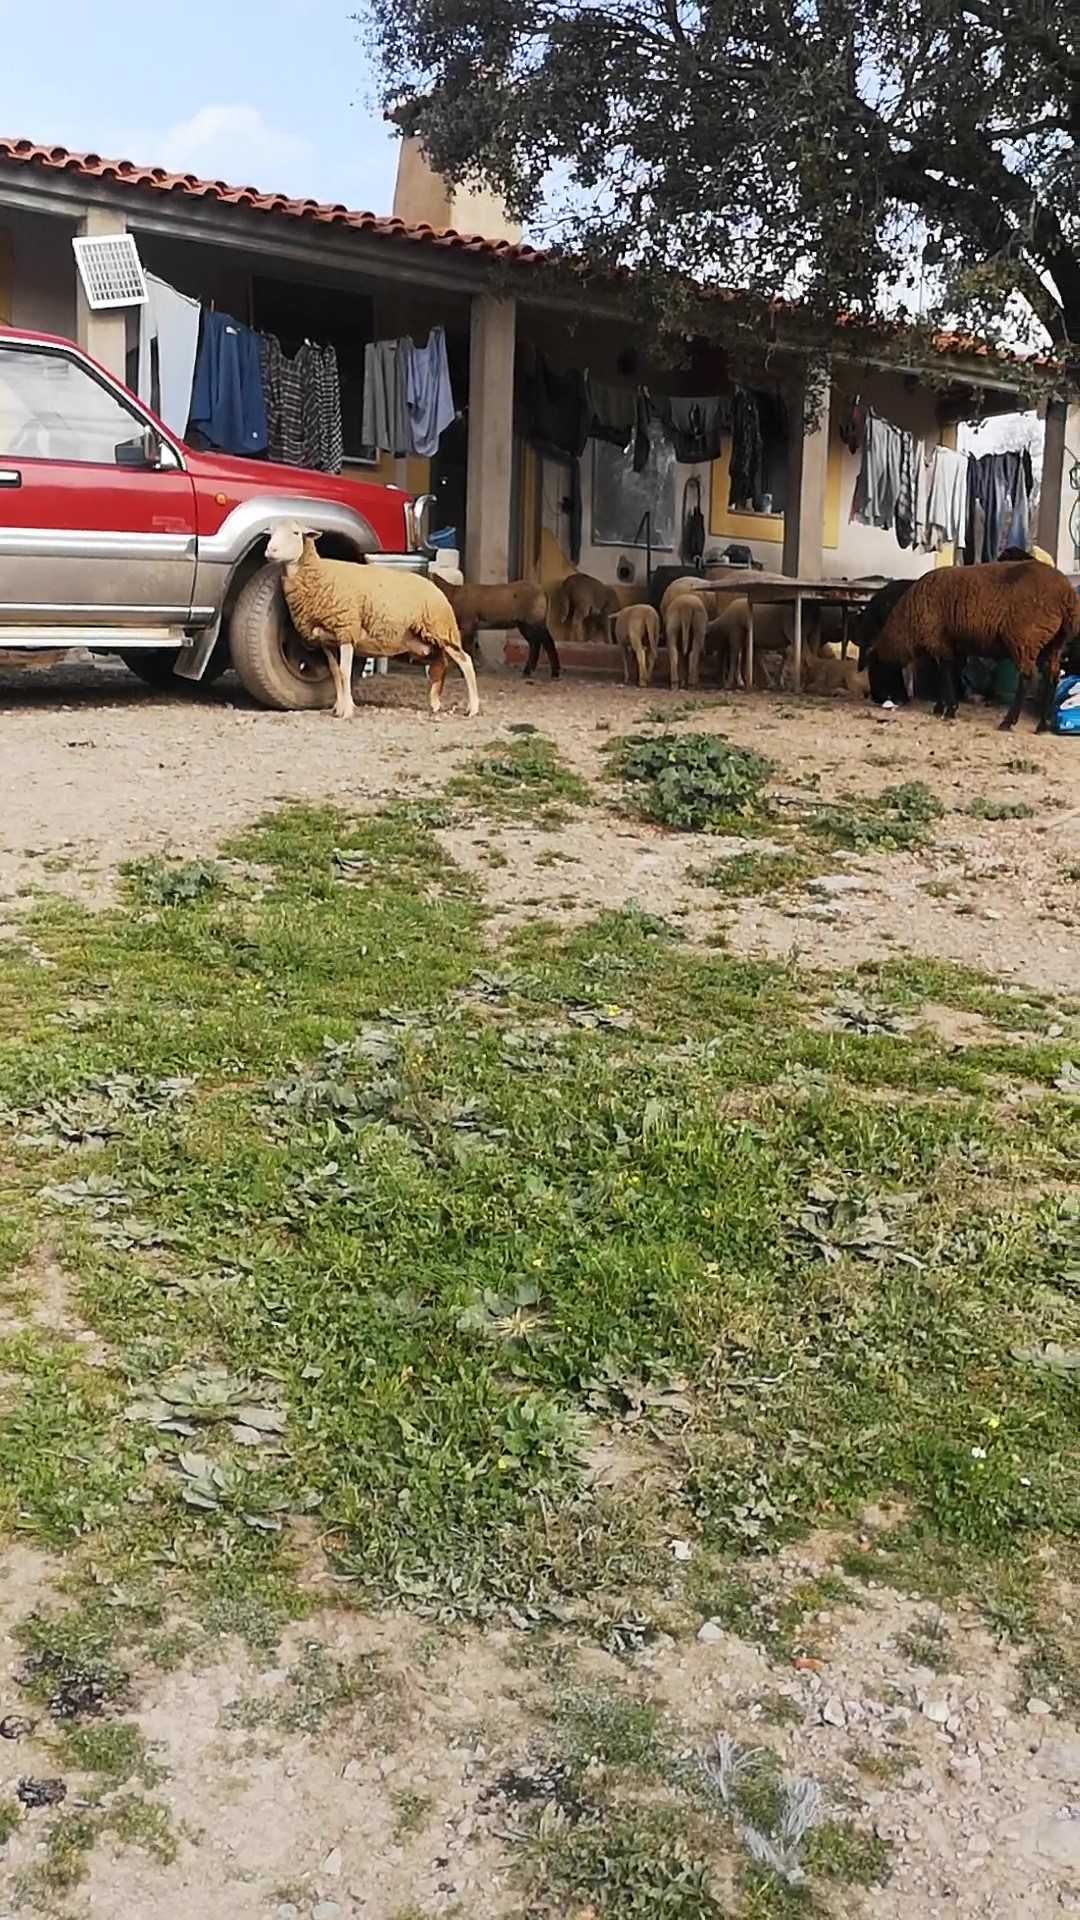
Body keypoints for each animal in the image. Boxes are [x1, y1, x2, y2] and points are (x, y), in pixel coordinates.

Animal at [263, 522, 476, 721]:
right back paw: (435, 703)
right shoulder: (326, 640)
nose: (270, 551)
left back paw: (472, 708)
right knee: (439, 666)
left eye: (295, 533)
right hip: (423, 642)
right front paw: (338, 708)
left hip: (442, 630)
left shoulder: (346, 630)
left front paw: (347, 711)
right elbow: (335, 673)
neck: (318, 573)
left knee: (465, 662)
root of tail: (435, 586)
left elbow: (345, 672)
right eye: (271, 533)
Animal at [864, 560, 1076, 733]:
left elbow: (944, 674)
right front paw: (941, 707)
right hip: (1054, 644)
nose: (876, 698)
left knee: (1027, 678)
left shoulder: (938, 641)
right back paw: (1042, 725)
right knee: (1052, 677)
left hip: (1025, 639)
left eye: (876, 670)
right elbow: (947, 674)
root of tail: (1067, 595)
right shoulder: (952, 645)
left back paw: (1008, 722)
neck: (906, 626)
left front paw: (949, 710)